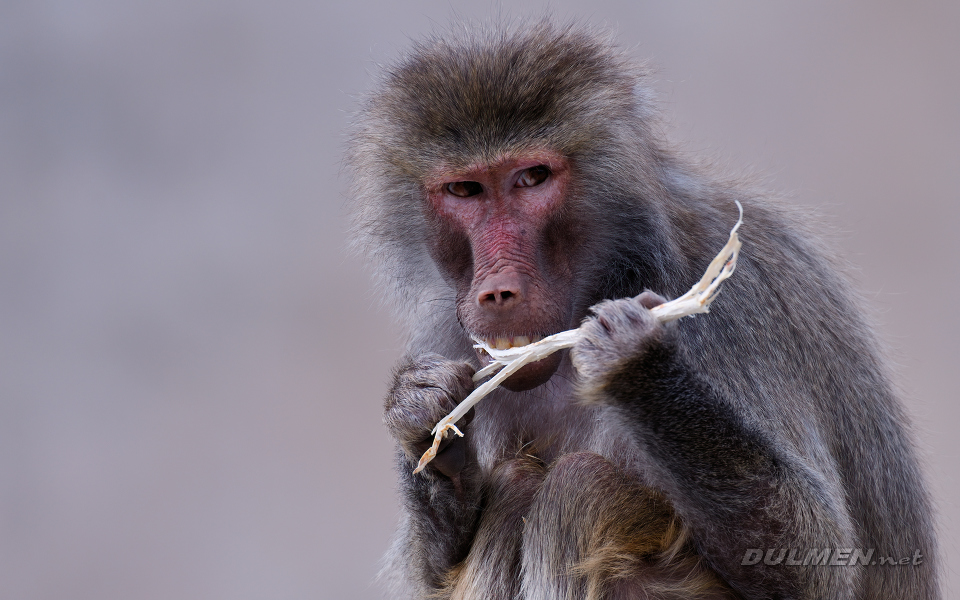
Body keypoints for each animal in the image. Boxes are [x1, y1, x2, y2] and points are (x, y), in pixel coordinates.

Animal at [346, 20, 939, 600]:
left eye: (532, 178)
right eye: (465, 190)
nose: (498, 292)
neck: (613, 268)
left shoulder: (733, 300)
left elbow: (814, 561)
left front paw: (632, 360)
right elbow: (433, 573)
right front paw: (420, 414)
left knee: (579, 488)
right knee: (520, 487)